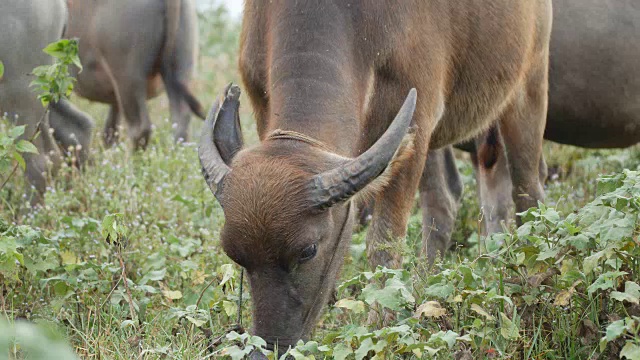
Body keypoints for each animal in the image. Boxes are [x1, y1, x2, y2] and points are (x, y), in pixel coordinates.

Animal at [199, 0, 552, 348]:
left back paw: (533, 281)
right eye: (235, 254)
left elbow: (383, 243)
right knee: (443, 201)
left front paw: (380, 327)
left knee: (528, 192)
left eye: (308, 250)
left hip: (529, 86)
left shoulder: (416, 122)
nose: (269, 347)